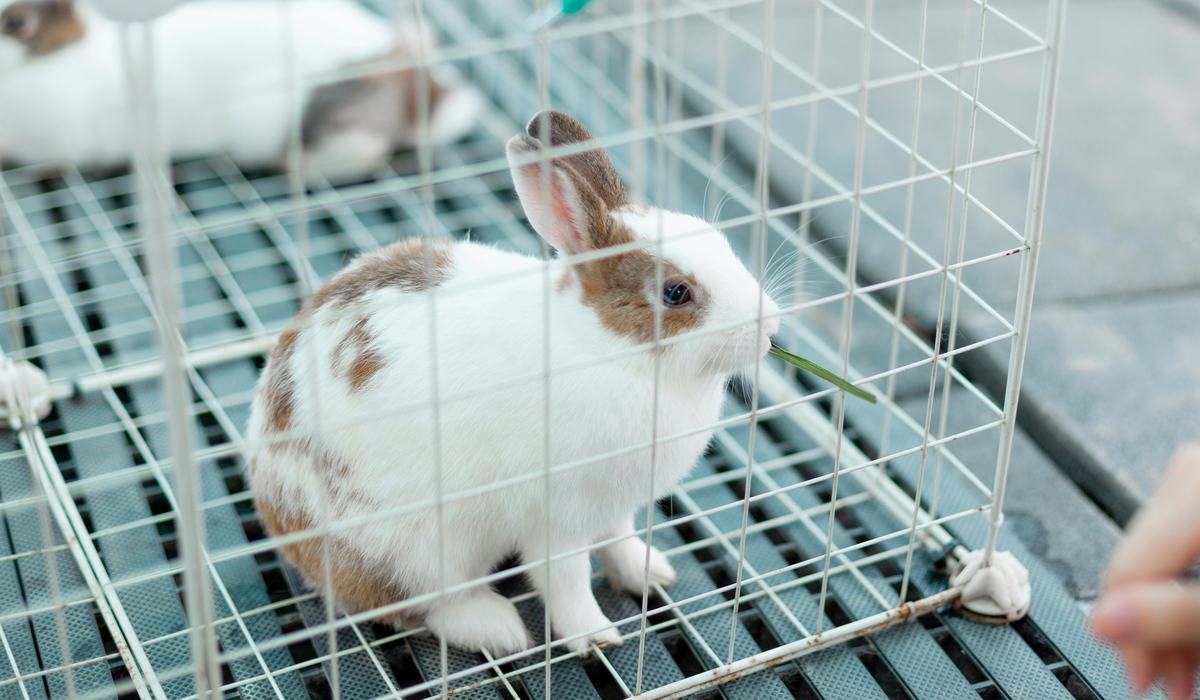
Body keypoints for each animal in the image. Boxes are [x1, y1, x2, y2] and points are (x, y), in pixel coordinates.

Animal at [245, 110, 782, 657]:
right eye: (676, 293)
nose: (771, 325)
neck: (611, 350)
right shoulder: (558, 519)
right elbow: (566, 580)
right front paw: (595, 637)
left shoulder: (613, 507)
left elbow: (620, 542)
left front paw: (651, 574)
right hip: (416, 550)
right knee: (420, 606)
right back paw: (498, 629)